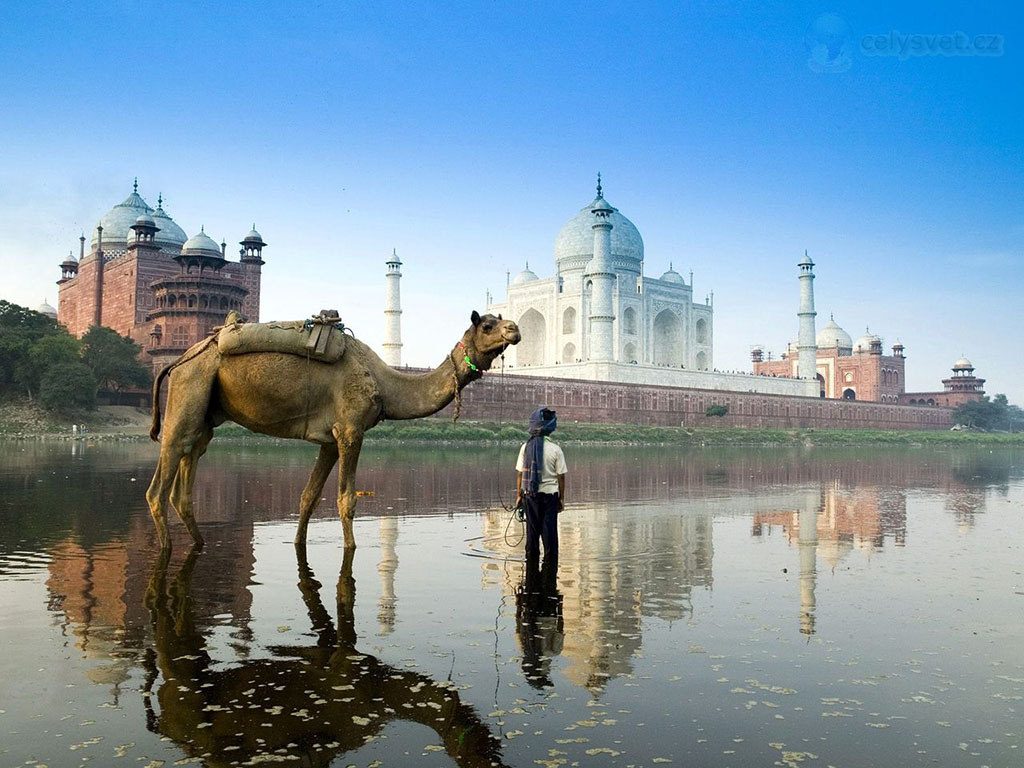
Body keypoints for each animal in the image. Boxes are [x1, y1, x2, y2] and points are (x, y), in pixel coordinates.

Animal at [146, 313, 520, 552]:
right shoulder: (351, 429)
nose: (514, 329)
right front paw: (351, 547)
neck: (386, 383)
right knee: (160, 481)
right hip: (189, 387)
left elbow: (309, 497)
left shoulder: (329, 439)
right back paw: (166, 548)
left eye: (502, 319)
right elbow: (346, 500)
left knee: (188, 473)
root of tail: (179, 360)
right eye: (487, 324)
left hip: (206, 414)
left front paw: (298, 542)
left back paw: (200, 543)